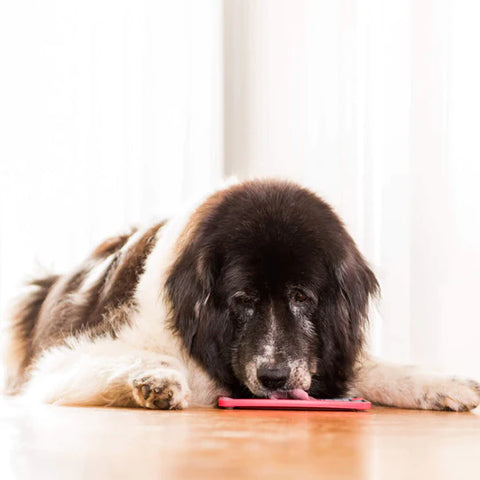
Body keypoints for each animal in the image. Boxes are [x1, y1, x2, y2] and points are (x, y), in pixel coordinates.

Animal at [3, 178, 480, 410]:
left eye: (302, 297)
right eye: (243, 300)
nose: (274, 377)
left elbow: (377, 369)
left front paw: (446, 384)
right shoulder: (59, 362)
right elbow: (132, 359)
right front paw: (154, 380)